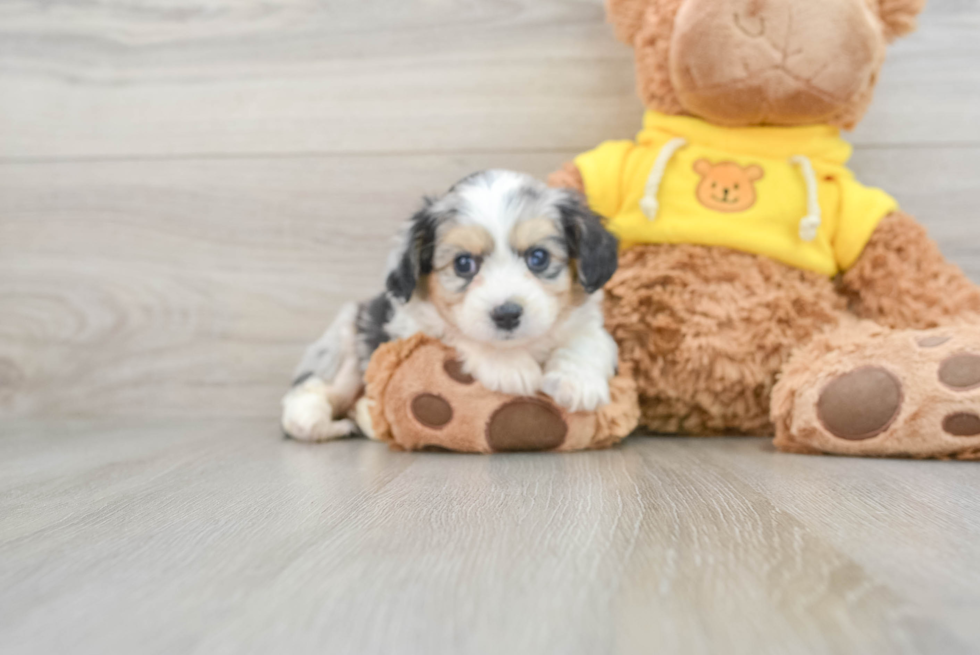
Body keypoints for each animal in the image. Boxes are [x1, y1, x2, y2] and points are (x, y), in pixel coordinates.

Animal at [284, 172, 616, 444]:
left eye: (539, 257)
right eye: (463, 264)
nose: (507, 314)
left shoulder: (588, 324)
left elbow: (588, 340)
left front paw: (577, 381)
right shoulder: (418, 325)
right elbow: (459, 332)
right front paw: (511, 367)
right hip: (345, 349)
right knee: (306, 398)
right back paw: (333, 424)